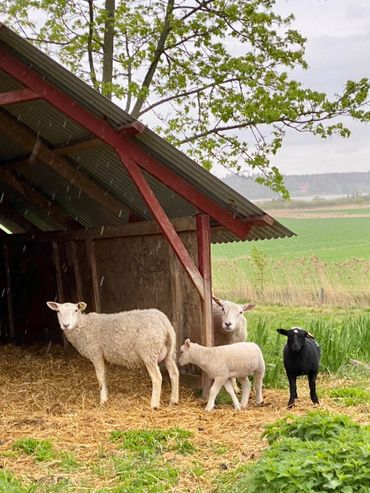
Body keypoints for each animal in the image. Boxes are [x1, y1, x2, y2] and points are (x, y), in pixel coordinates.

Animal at [47, 300, 180, 408]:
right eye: (58, 311)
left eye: (75, 310)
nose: (66, 325)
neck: (83, 326)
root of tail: (164, 323)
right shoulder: (102, 355)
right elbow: (104, 375)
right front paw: (106, 394)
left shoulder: (96, 353)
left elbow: (100, 376)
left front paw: (103, 400)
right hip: (170, 352)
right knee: (174, 373)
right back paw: (174, 400)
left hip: (149, 351)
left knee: (157, 378)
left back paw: (154, 404)